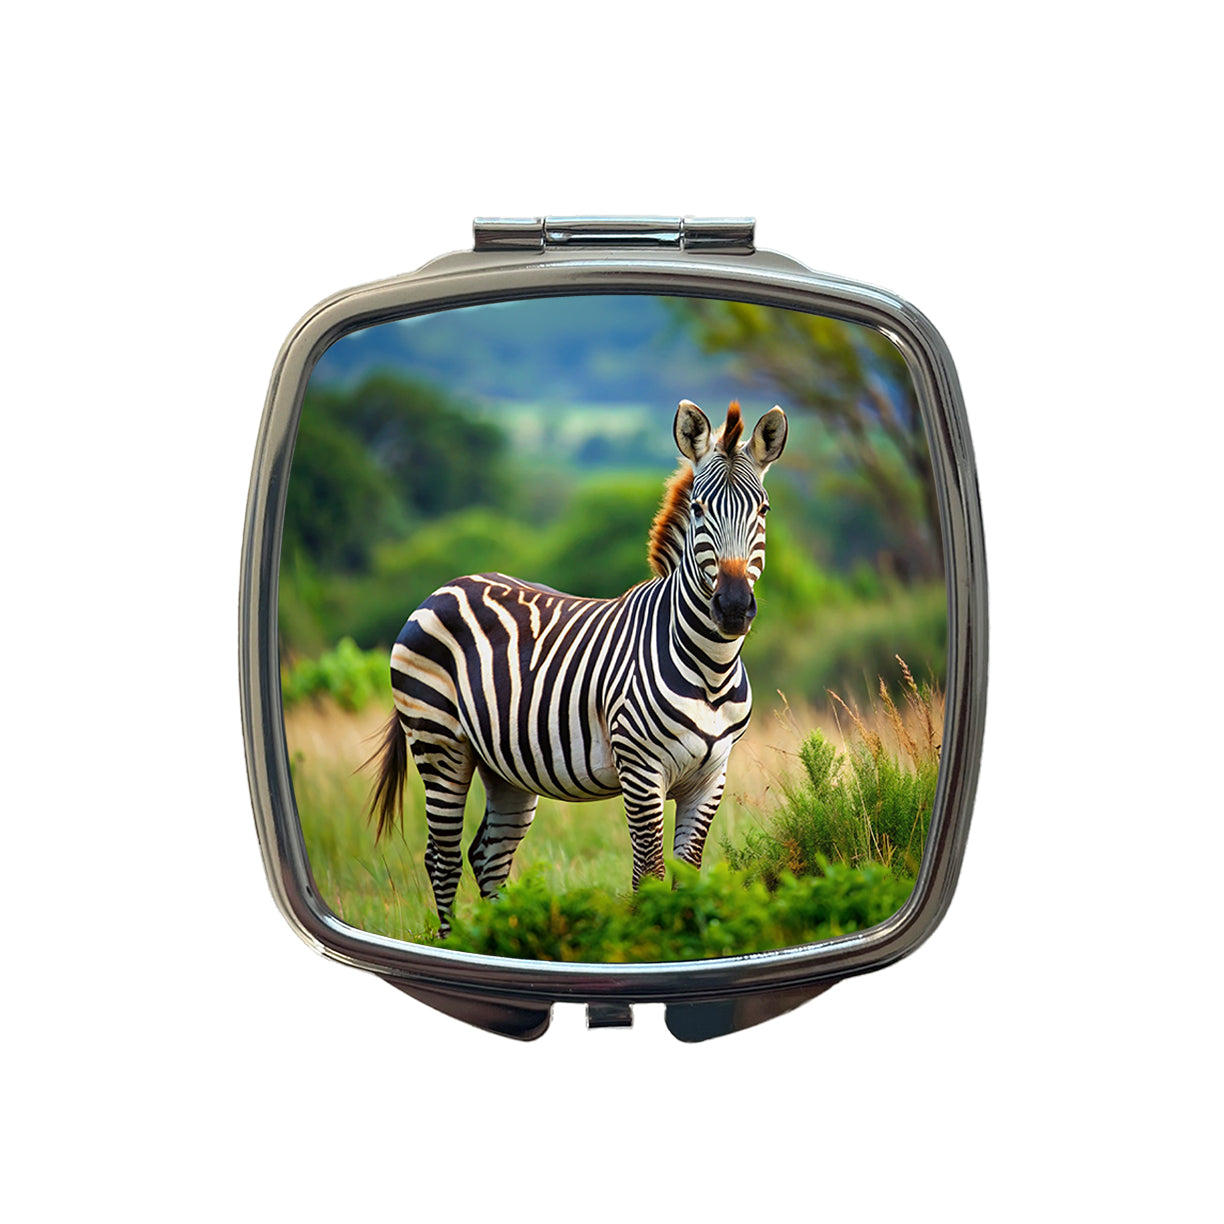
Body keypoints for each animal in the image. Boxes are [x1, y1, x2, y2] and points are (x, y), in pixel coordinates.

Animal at [368, 398, 788, 933]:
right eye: (697, 509)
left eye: (763, 510)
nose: (733, 607)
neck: (710, 670)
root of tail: (446, 586)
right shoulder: (641, 770)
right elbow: (649, 876)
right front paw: (649, 943)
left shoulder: (711, 776)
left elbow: (687, 876)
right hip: (439, 743)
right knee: (440, 858)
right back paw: (454, 942)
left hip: (504, 767)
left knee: (488, 856)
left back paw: (502, 941)